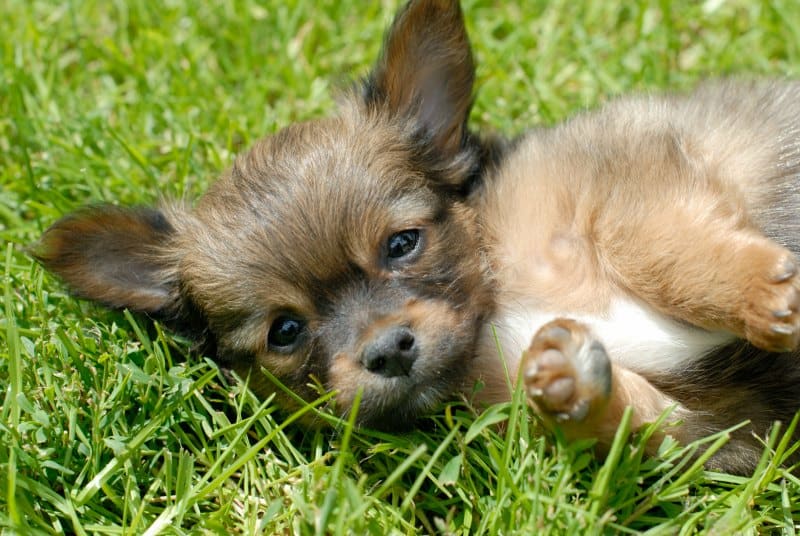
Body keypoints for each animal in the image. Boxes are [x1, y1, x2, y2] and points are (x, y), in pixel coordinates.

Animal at [34, 0, 800, 474]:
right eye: (285, 331)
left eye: (402, 244)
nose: (388, 350)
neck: (497, 300)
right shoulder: (721, 427)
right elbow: (634, 419)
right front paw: (570, 384)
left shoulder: (624, 175)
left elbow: (661, 248)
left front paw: (761, 294)